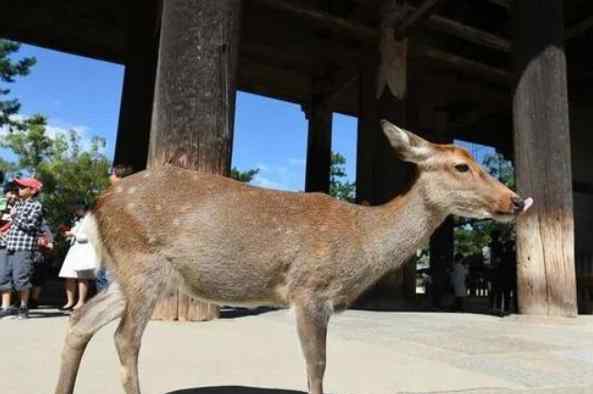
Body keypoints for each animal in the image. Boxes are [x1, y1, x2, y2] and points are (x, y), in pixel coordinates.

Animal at [53, 120, 528, 394]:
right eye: (461, 166)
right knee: (124, 337)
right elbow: (317, 365)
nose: (516, 200)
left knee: (81, 321)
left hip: (125, 275)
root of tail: (98, 204)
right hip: (142, 263)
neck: (361, 241)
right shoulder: (309, 289)